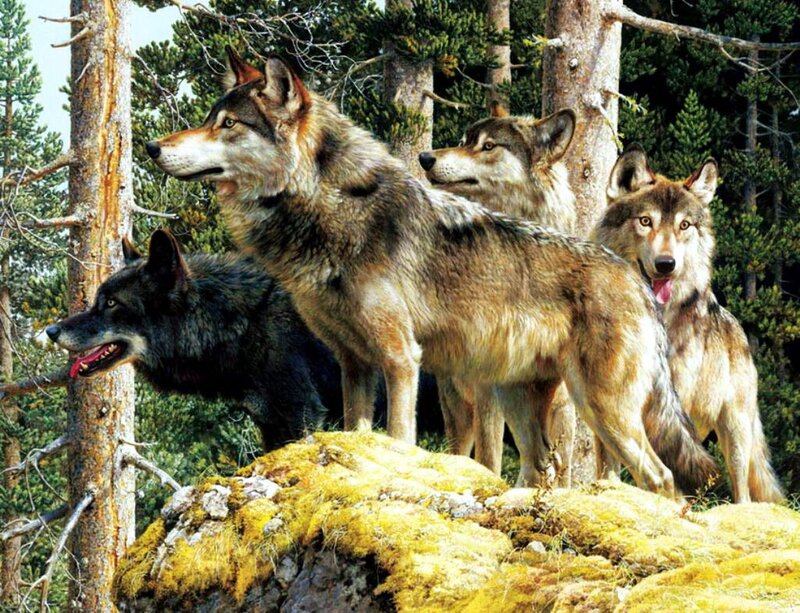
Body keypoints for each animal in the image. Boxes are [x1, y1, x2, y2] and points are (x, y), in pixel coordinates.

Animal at [46, 229, 340, 450]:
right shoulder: (271, 422)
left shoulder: (301, 413)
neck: (242, 320)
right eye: (99, 299)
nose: (51, 331)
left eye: (110, 303)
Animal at [419, 107, 578, 486]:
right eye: (465, 140)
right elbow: (489, 459)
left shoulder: (565, 404)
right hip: (459, 405)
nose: (425, 157)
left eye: (488, 146)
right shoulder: (489, 393)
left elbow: (560, 471)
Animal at [592, 145, 783, 502]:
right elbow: (610, 465)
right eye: (645, 221)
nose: (667, 264)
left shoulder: (671, 411)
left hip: (735, 433)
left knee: (742, 489)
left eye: (684, 226)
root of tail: (736, 327)